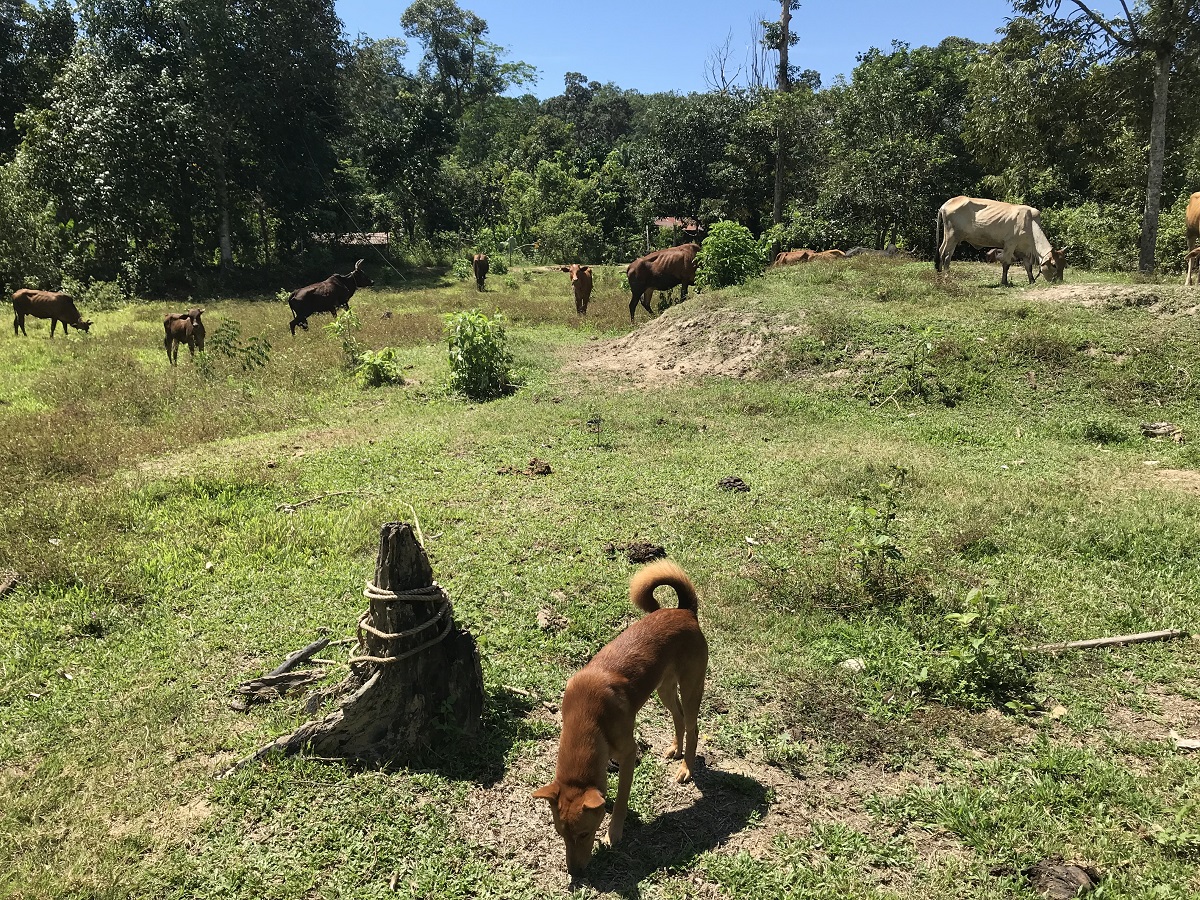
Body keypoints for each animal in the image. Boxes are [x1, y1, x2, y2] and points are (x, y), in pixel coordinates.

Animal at [532, 564, 700, 883]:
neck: (586, 718)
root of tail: (684, 611)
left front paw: (615, 831)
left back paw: (686, 767)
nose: (575, 874)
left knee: (693, 725)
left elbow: (621, 799)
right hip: (664, 687)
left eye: (585, 834)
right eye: (561, 835)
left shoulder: (628, 753)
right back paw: (676, 748)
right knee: (679, 717)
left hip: (690, 685)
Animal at [931, 196, 1065, 285]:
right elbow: (1006, 263)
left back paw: (939, 276)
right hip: (952, 236)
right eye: (1054, 265)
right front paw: (1004, 282)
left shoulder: (1023, 249)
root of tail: (945, 205)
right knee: (945, 256)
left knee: (941, 252)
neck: (1030, 224)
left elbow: (1028, 266)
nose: (1059, 281)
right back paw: (946, 278)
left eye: (1064, 264)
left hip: (949, 237)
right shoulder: (1010, 244)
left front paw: (1032, 281)